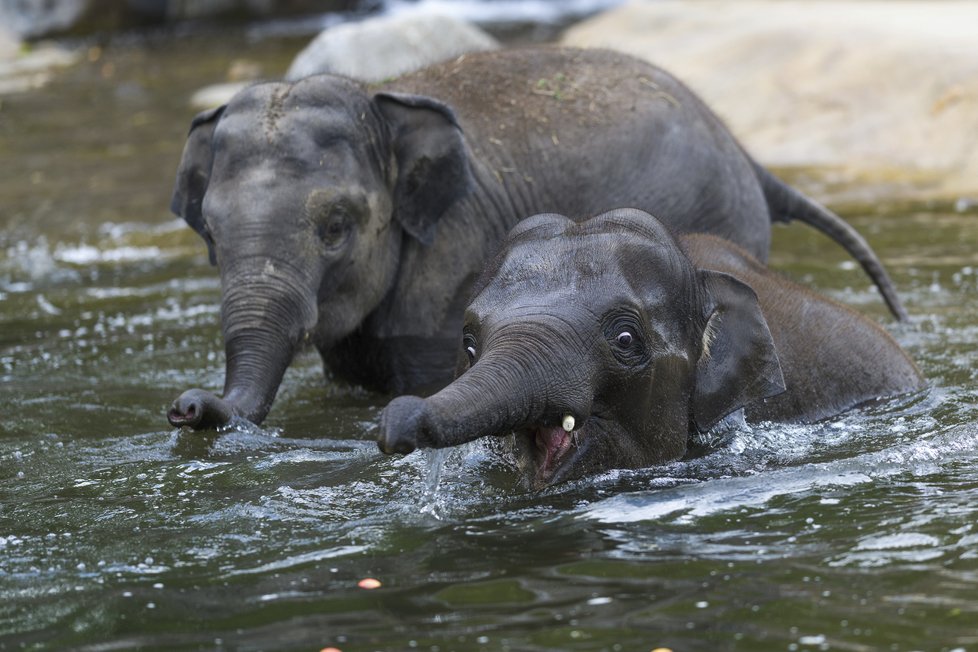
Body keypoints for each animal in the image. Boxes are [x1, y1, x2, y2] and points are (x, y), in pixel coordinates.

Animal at [164, 47, 904, 432]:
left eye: (336, 227)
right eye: (209, 231)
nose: (186, 406)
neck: (384, 95)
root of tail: (746, 151)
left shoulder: (450, 253)